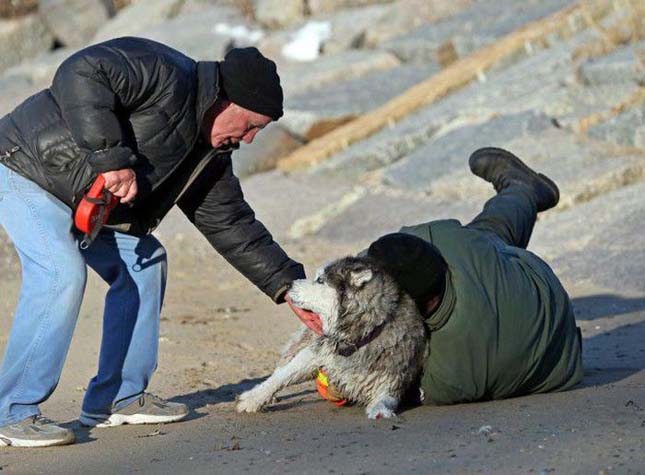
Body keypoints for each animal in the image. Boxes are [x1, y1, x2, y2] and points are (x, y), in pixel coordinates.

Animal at [236, 256, 428, 420]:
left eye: (320, 280)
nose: (288, 284)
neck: (359, 337)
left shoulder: (391, 379)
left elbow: (385, 400)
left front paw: (380, 412)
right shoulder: (315, 352)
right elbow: (282, 376)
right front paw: (253, 398)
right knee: (283, 364)